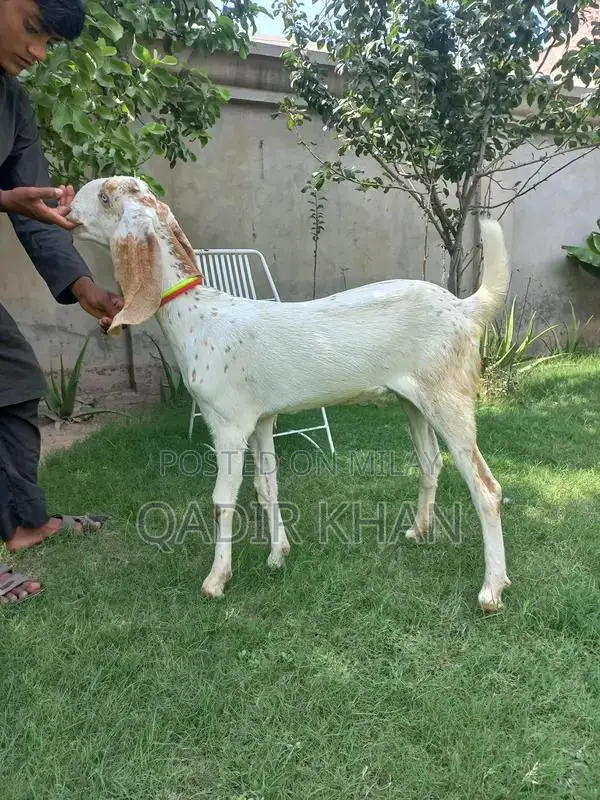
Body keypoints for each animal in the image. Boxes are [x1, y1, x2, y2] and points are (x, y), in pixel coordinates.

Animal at [68, 175, 512, 612]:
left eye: (105, 197)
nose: (68, 209)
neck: (198, 317)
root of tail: (465, 310)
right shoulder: (262, 418)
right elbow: (266, 486)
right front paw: (278, 554)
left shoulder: (227, 422)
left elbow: (221, 499)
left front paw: (216, 579)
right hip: (412, 399)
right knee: (430, 463)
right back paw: (419, 532)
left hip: (448, 395)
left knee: (486, 488)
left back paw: (491, 589)